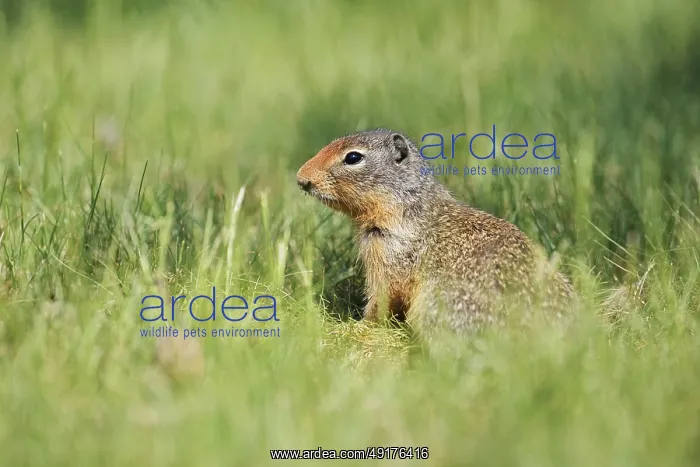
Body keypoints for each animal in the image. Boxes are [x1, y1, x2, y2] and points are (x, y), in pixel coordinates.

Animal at [297, 128, 573, 335]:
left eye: (353, 157)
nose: (301, 179)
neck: (406, 205)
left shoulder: (389, 254)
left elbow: (382, 298)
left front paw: (356, 326)